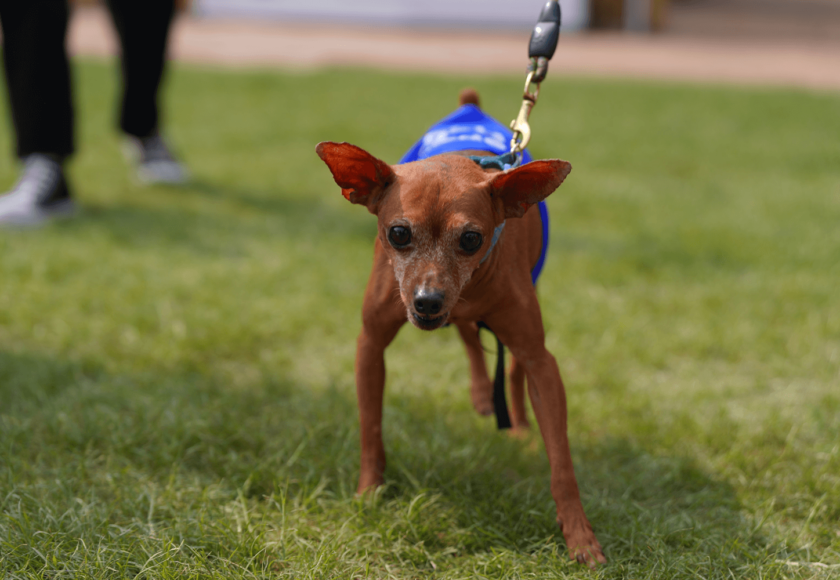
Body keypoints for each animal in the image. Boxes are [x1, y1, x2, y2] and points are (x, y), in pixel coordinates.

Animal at [316, 92, 604, 568]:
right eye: (398, 233)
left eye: (472, 239)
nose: (428, 301)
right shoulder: (370, 344)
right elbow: (371, 429)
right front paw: (369, 492)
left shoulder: (540, 358)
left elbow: (561, 462)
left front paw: (579, 536)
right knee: (469, 338)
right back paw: (481, 393)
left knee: (508, 367)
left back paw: (518, 427)